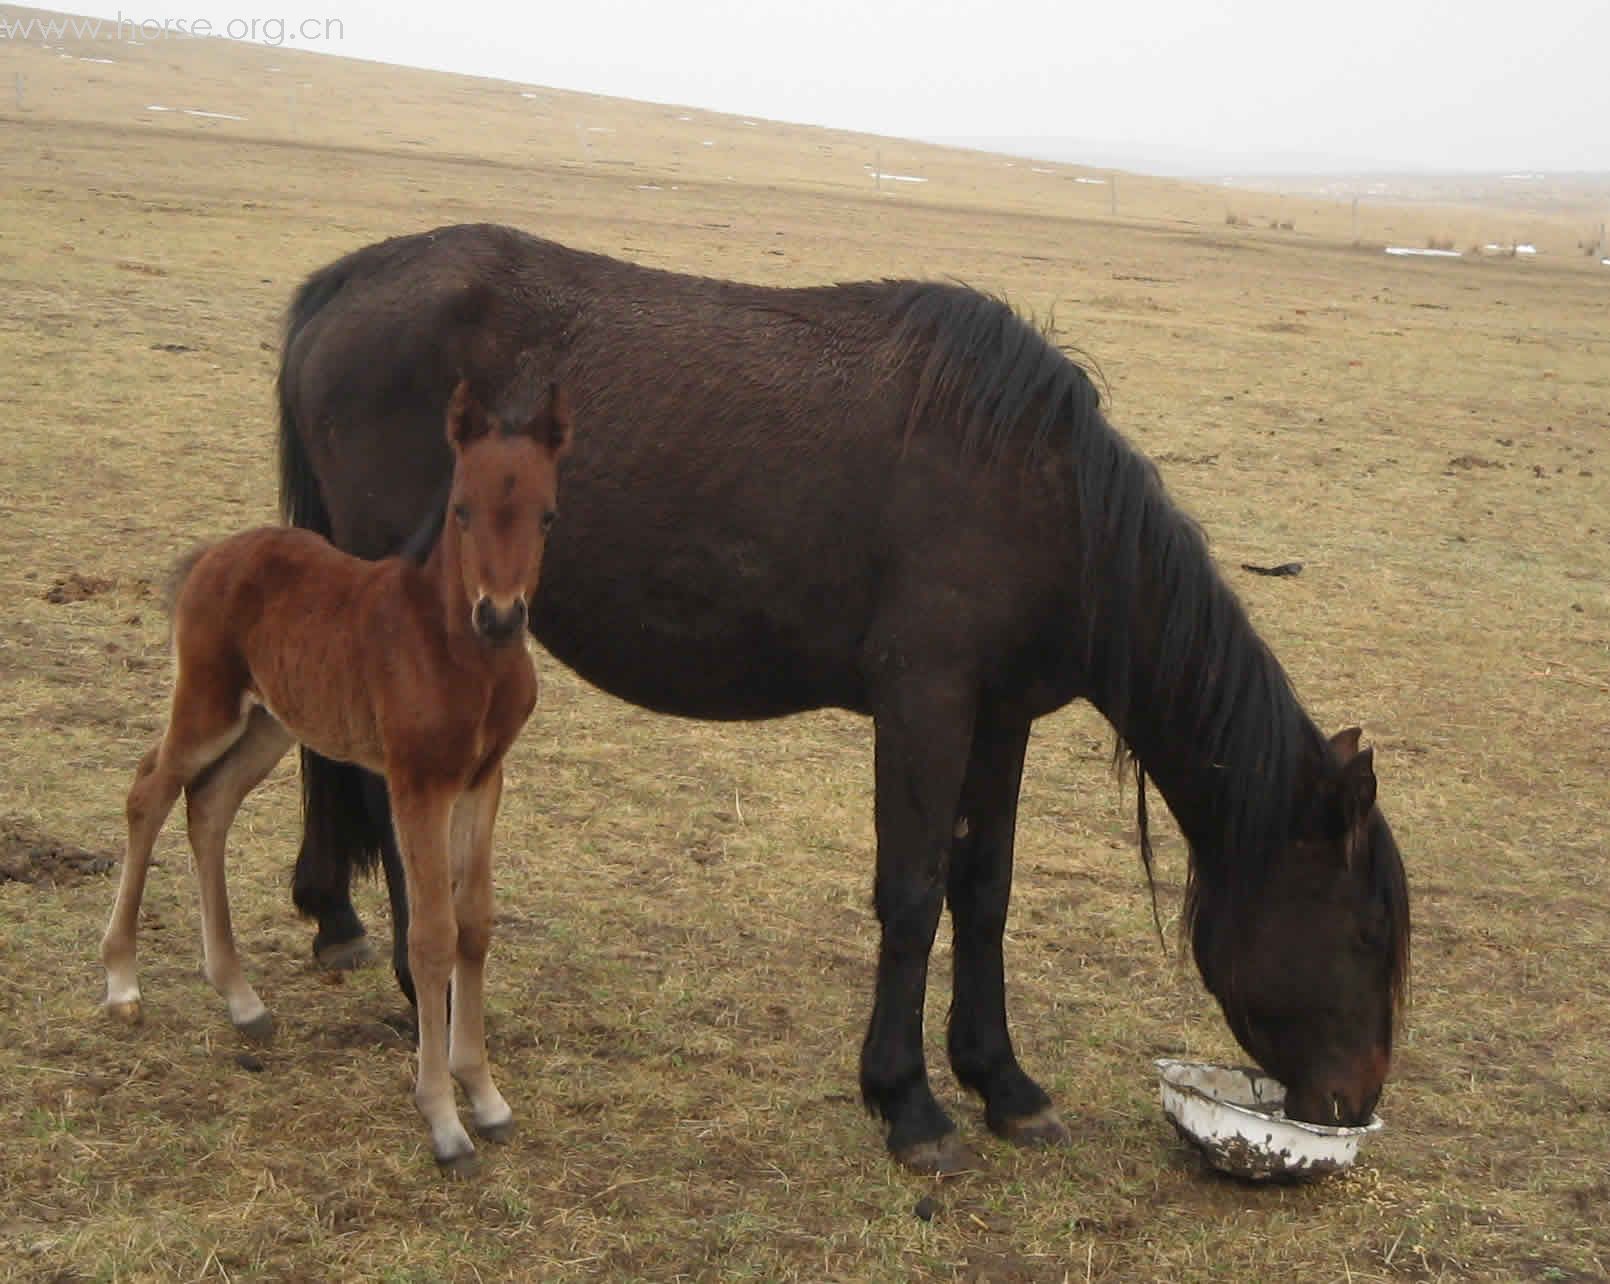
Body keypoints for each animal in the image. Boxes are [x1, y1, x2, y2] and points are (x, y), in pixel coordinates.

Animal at [97, 376, 569, 1171]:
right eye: (461, 508)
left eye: (546, 515)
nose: (501, 617)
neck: (457, 648)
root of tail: (213, 555)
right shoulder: (418, 781)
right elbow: (432, 934)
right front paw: (444, 1121)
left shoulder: (485, 777)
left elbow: (474, 924)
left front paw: (486, 1097)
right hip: (209, 704)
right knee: (149, 790)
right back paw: (123, 982)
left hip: (271, 724)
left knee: (209, 804)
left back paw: (242, 1000)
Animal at [276, 223, 1410, 1177]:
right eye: (1362, 934)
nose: (1352, 1104)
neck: (1043, 495)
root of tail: (346, 284)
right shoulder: (925, 706)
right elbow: (911, 896)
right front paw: (908, 1103)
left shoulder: (1000, 720)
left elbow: (984, 892)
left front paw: (1003, 1083)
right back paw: (415, 983)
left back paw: (337, 918)